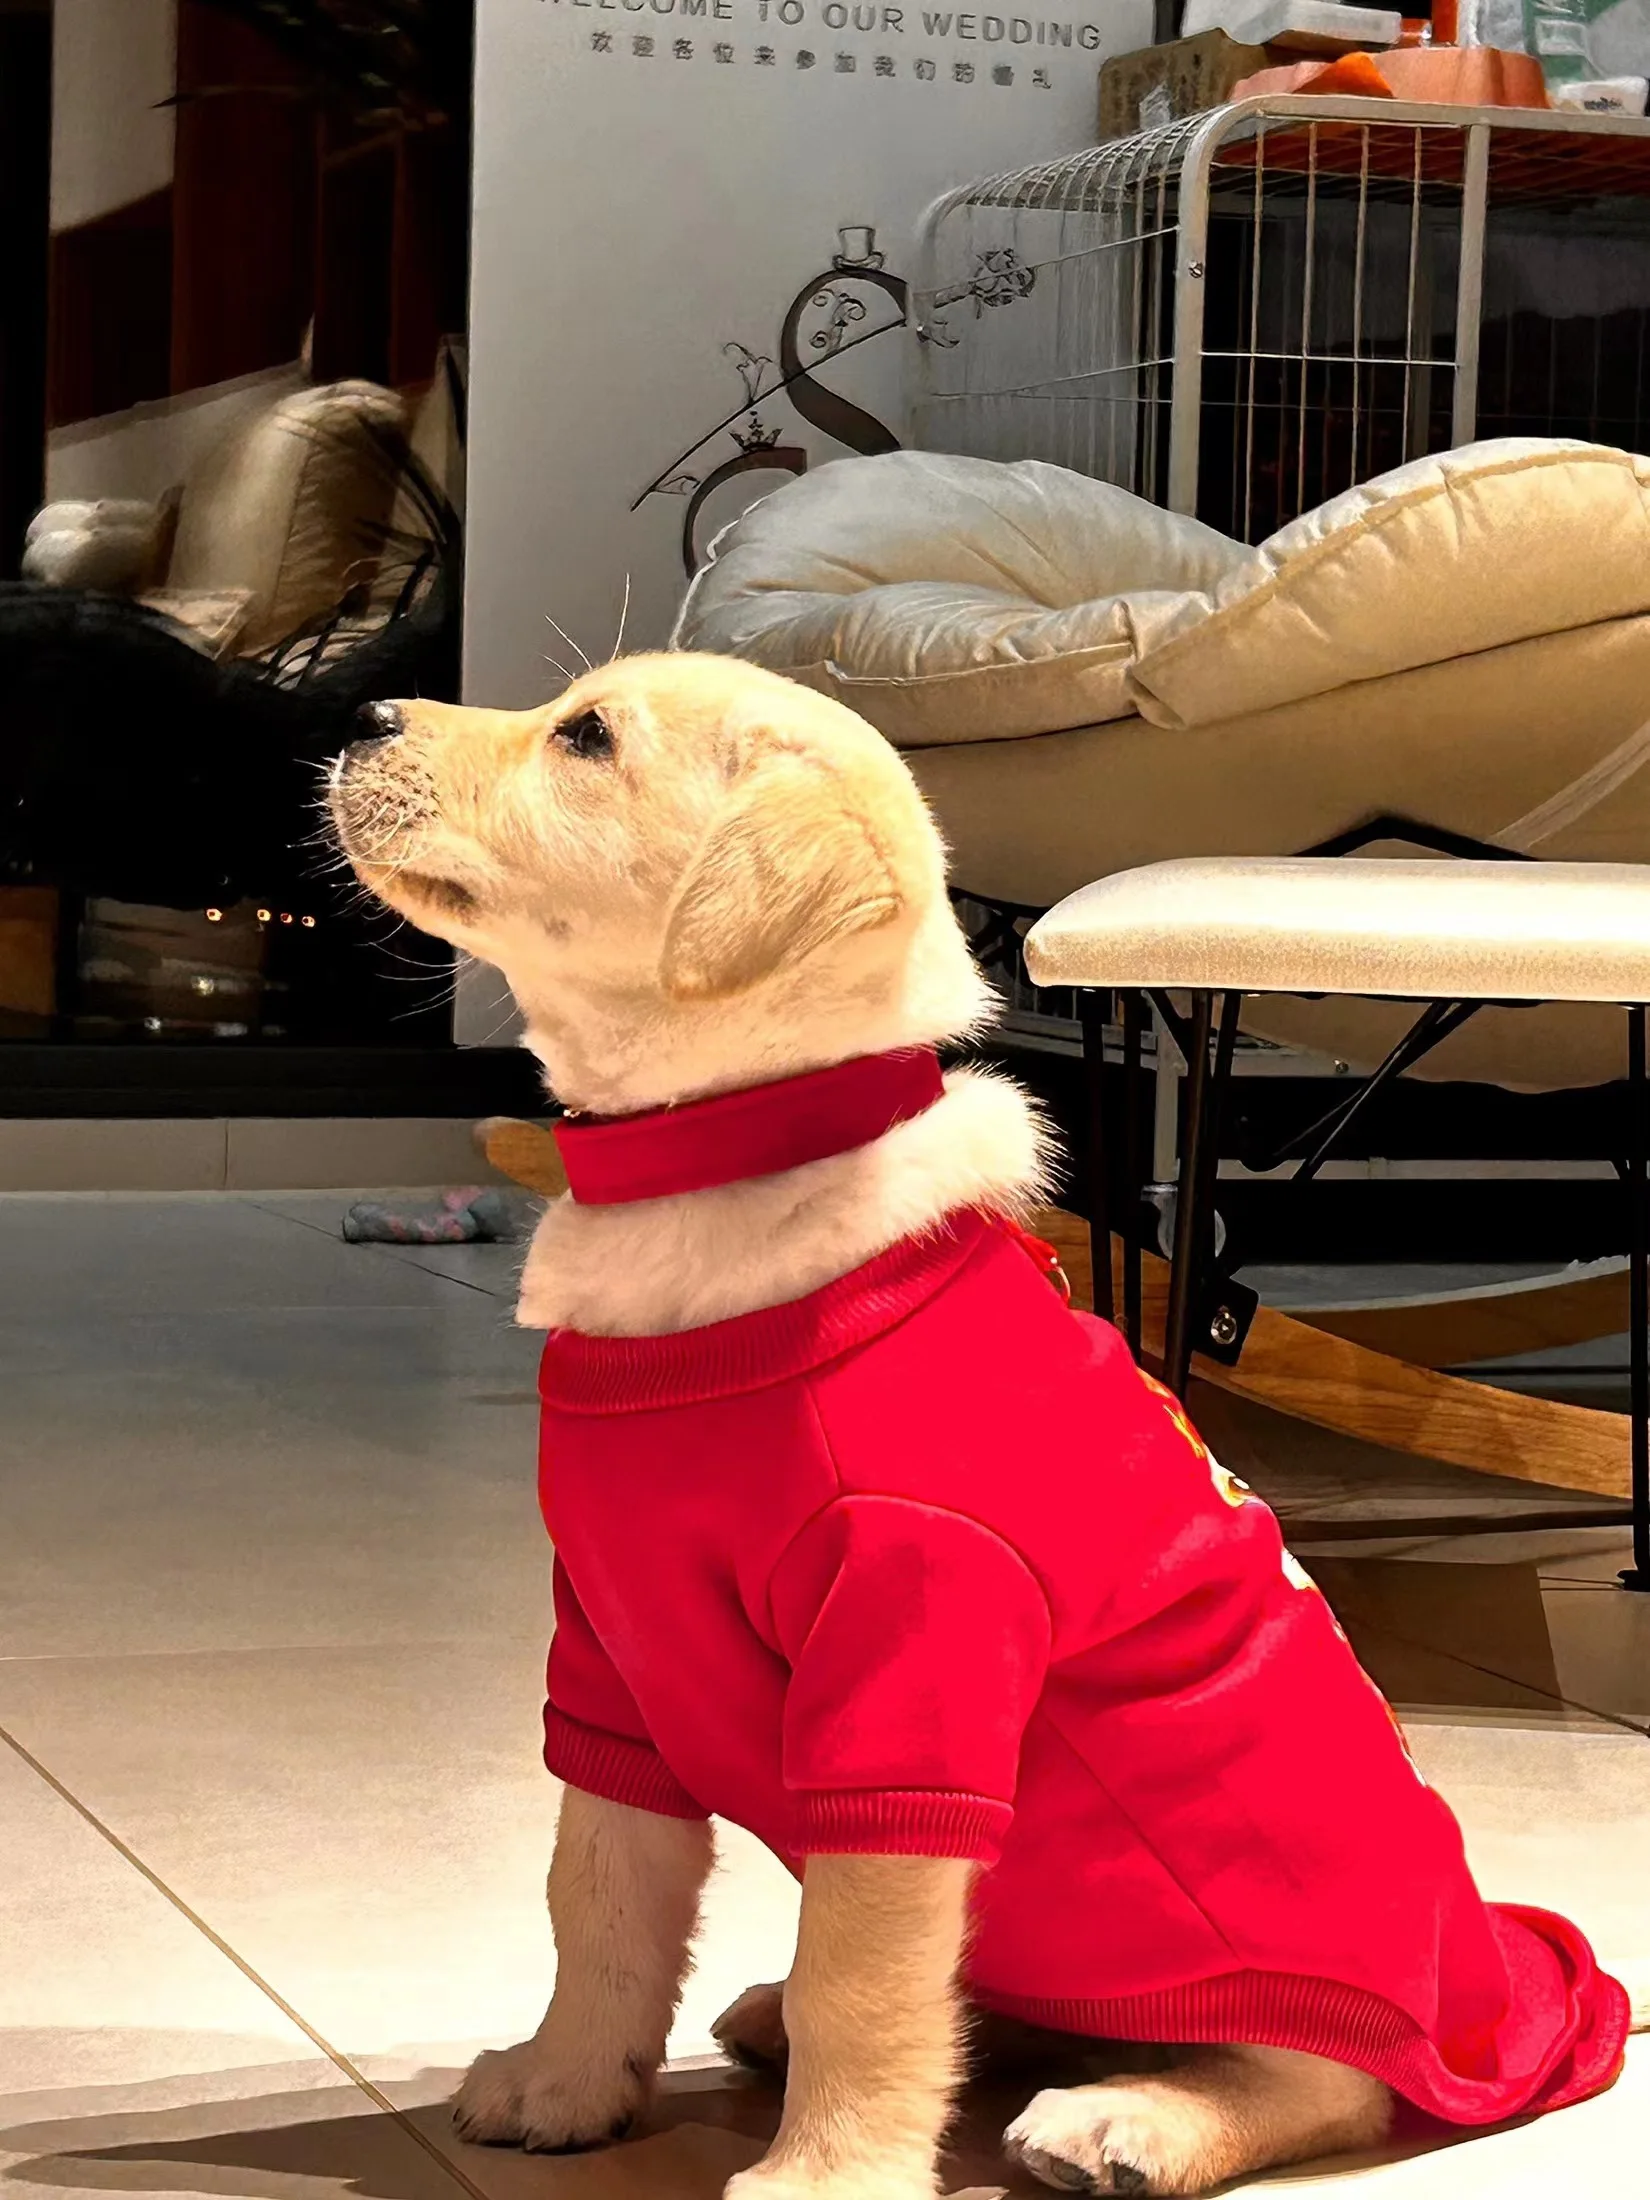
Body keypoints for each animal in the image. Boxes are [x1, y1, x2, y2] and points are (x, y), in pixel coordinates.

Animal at [332, 652, 1630, 2200]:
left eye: (585, 736)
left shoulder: (918, 1660)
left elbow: (867, 1973)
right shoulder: (611, 1653)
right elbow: (597, 1897)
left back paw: (1133, 2120)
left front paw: (826, 2174)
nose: (363, 719)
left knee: (1328, 2081)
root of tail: (1495, 1988)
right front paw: (564, 2082)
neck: (734, 1151)